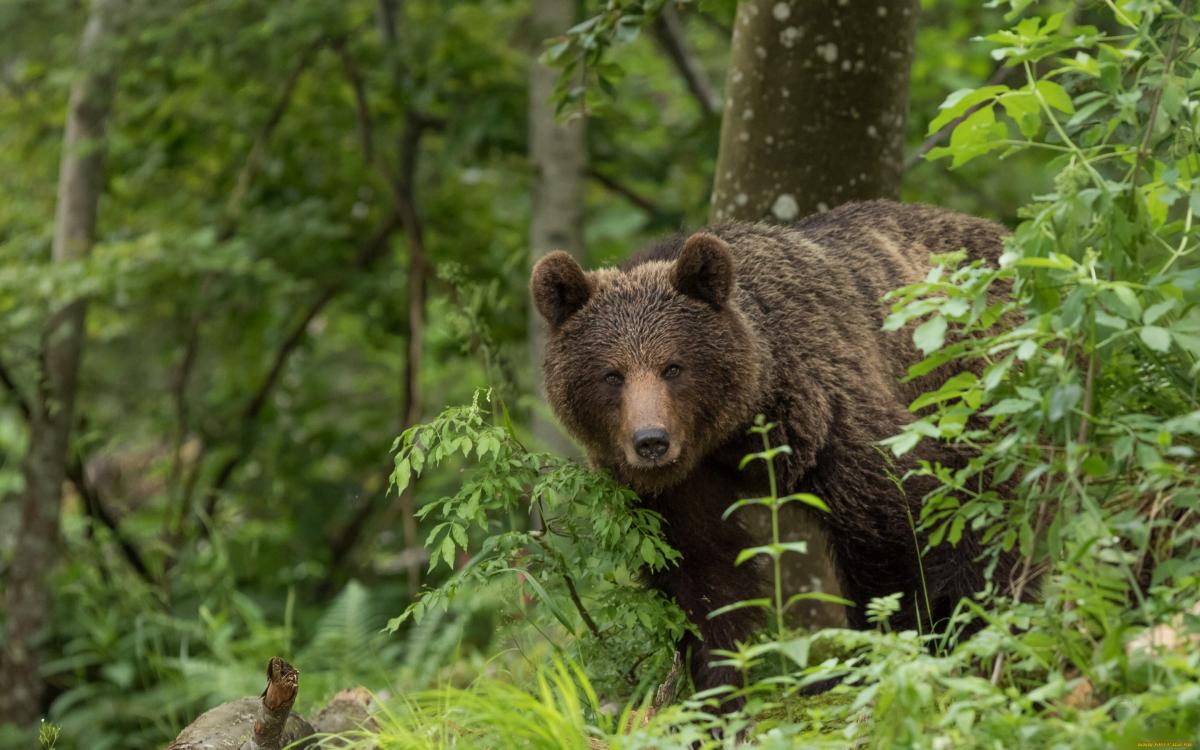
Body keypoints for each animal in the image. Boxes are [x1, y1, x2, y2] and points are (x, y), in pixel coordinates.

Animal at [532, 198, 1012, 705]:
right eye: (612, 374)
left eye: (673, 367)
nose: (651, 441)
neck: (731, 428)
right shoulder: (677, 491)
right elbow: (704, 571)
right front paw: (718, 688)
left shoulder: (829, 413)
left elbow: (887, 522)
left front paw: (876, 650)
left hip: (974, 394)